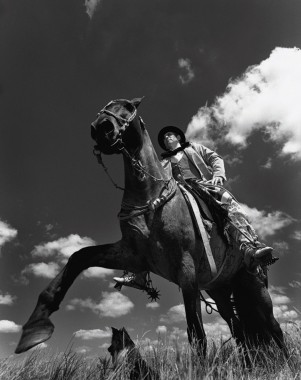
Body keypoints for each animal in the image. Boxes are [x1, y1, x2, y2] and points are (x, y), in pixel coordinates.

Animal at [15, 97, 288, 360]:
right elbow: (78, 257)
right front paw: (35, 327)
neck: (151, 197)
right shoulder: (133, 254)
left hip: (254, 285)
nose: (100, 128)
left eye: (127, 106)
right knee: (239, 329)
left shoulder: (186, 271)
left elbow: (196, 332)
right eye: (106, 107)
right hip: (220, 290)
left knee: (274, 327)